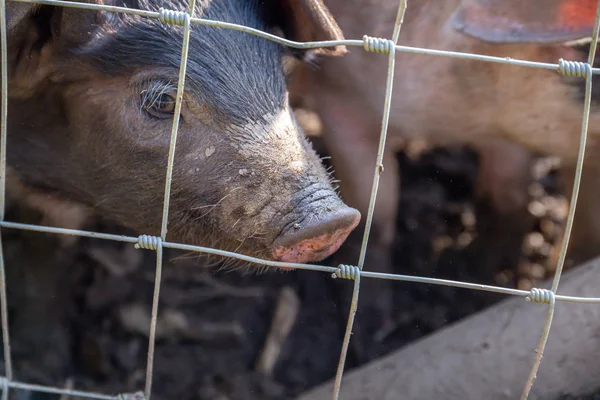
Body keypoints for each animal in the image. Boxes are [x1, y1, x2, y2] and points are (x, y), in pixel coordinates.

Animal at [290, 0, 600, 362]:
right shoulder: (339, 99)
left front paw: (485, 287)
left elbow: (507, 202)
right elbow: (374, 214)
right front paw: (369, 341)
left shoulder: (508, 138)